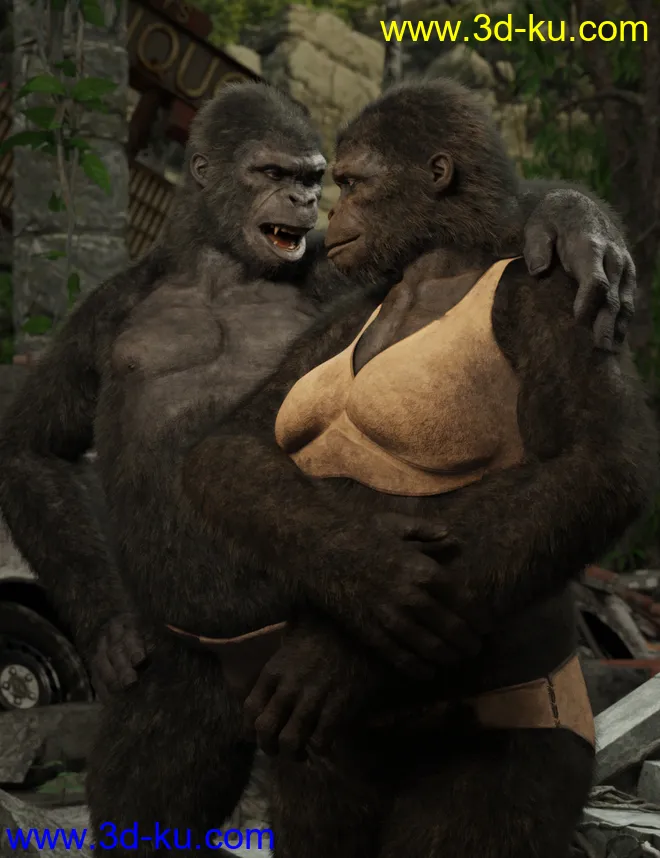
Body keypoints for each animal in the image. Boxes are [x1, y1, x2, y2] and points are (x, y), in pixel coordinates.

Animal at [0, 80, 643, 854]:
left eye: (315, 178)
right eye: (274, 173)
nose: (311, 204)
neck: (222, 269)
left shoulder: (345, 282)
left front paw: (573, 227)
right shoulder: (108, 305)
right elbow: (34, 444)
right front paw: (111, 633)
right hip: (191, 694)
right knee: (153, 787)